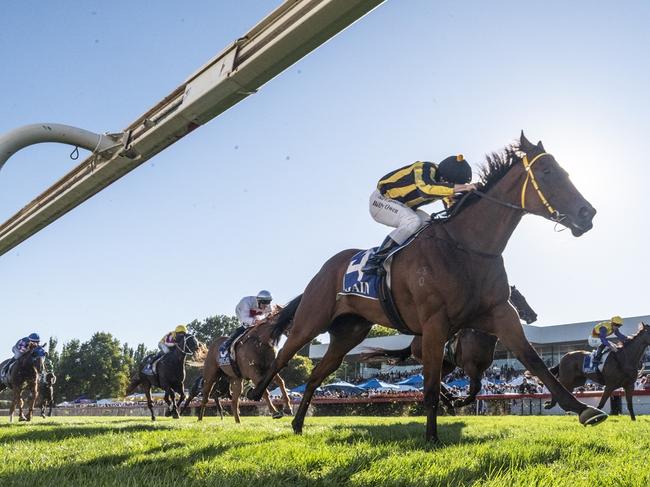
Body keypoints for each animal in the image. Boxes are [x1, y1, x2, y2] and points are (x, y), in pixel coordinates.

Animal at [360, 286, 536, 412]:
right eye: (519, 297)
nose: (534, 316)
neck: (480, 336)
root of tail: (414, 341)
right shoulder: (470, 366)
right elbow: (475, 388)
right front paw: (459, 402)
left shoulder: (481, 369)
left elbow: (476, 388)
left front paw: (457, 400)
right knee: (430, 379)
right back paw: (449, 401)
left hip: (448, 365)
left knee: (437, 380)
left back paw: (449, 399)